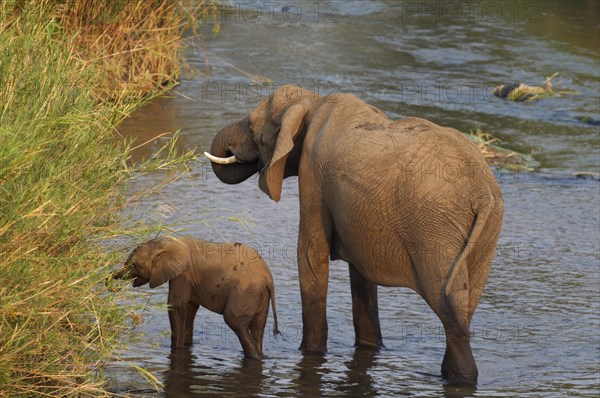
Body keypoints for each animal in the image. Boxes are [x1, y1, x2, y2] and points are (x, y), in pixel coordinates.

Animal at [113, 235, 280, 360]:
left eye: (134, 265)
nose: (112, 284)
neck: (170, 242)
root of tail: (269, 280)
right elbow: (189, 308)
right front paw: (186, 346)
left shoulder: (183, 274)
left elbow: (176, 306)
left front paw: (176, 348)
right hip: (259, 296)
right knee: (258, 326)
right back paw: (261, 355)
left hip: (244, 292)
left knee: (235, 322)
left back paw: (255, 357)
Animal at [204, 84, 504, 386]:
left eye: (253, 128)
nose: (228, 148)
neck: (313, 101)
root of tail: (482, 191)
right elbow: (360, 275)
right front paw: (369, 348)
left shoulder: (313, 172)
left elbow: (311, 254)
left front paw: (310, 354)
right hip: (485, 232)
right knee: (465, 305)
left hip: (436, 233)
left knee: (450, 310)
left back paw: (459, 378)